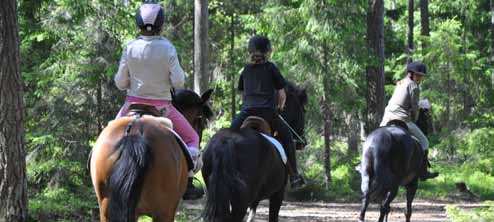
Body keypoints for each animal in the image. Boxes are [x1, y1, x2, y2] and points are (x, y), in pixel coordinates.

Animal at [201, 82, 304, 222]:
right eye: (302, 110)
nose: (302, 143)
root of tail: (226, 142)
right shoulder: (277, 194)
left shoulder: (255, 200)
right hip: (241, 200)